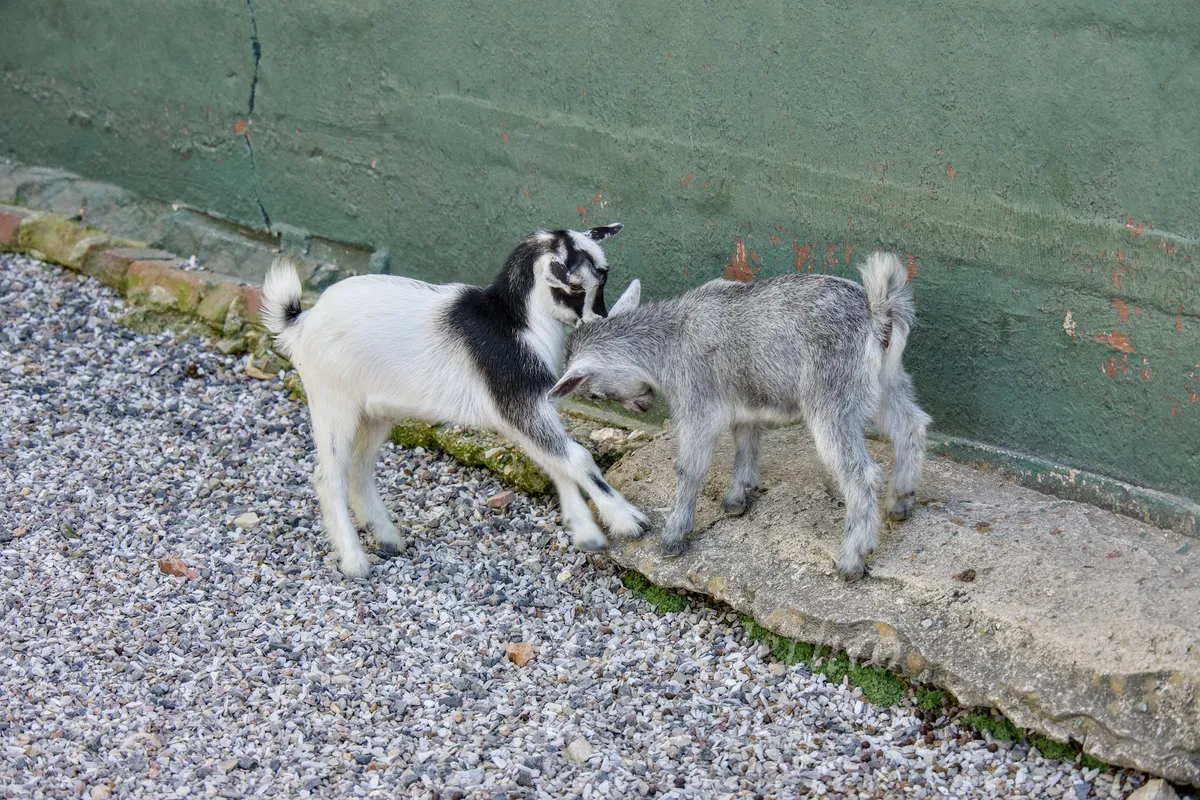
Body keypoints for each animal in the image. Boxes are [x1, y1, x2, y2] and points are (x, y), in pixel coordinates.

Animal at [261, 225, 649, 578]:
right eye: (577, 286)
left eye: (604, 276)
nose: (599, 319)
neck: (515, 324)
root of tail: (301, 321)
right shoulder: (520, 405)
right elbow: (577, 458)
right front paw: (629, 521)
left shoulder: (522, 412)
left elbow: (557, 465)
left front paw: (587, 534)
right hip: (333, 403)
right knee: (330, 477)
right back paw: (355, 562)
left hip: (374, 413)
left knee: (359, 469)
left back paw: (386, 537)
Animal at [550, 252, 931, 580]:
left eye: (593, 394)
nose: (640, 406)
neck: (670, 338)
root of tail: (877, 313)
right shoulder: (744, 401)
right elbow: (746, 442)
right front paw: (737, 498)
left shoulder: (697, 406)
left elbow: (689, 469)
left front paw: (674, 535)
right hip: (887, 383)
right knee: (911, 425)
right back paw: (901, 500)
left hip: (832, 402)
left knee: (861, 474)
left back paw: (854, 558)